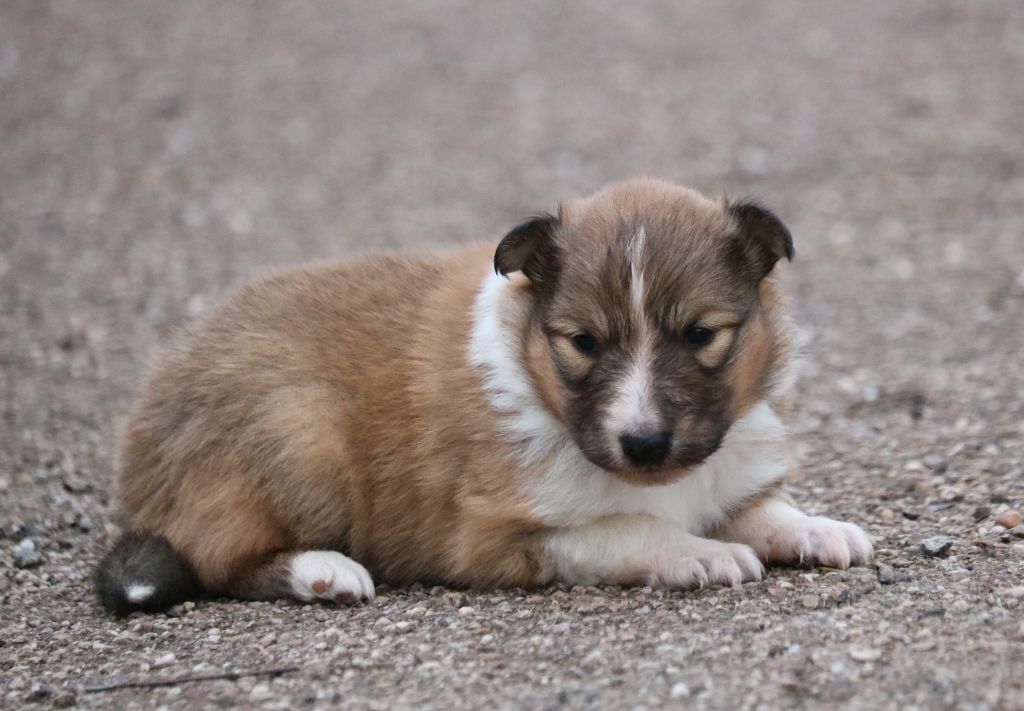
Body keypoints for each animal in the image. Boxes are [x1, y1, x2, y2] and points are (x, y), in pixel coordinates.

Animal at [94, 179, 872, 618]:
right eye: (583, 342)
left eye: (702, 334)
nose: (645, 444)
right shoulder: (494, 534)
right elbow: (629, 527)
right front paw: (699, 554)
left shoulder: (722, 469)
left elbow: (762, 508)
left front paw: (817, 528)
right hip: (301, 432)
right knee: (216, 560)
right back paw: (324, 571)